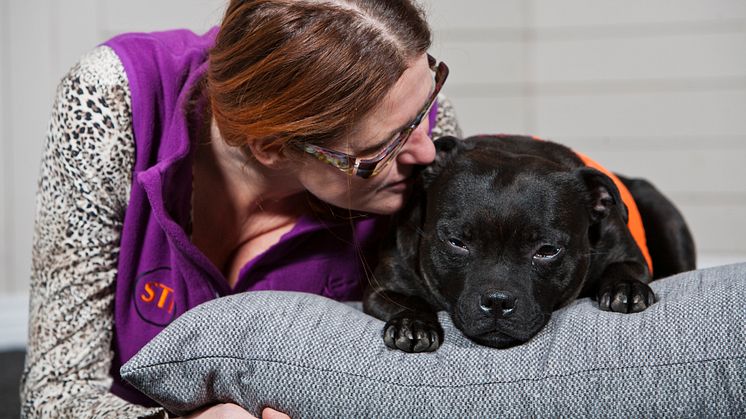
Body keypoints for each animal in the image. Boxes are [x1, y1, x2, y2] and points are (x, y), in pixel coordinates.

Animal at [364, 135, 696, 352]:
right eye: (457, 242)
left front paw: (624, 289)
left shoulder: (628, 255)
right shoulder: (384, 287)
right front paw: (413, 324)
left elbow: (625, 268)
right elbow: (406, 300)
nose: (498, 301)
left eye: (547, 251)